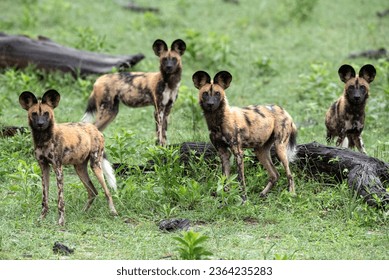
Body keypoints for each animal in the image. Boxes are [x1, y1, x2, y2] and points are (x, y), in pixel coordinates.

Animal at [19, 89, 116, 225]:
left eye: (46, 113)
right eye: (34, 114)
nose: (40, 124)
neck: (43, 139)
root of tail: (94, 128)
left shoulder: (58, 168)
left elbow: (60, 201)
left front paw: (61, 221)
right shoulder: (44, 167)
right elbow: (45, 199)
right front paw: (41, 218)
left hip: (95, 165)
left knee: (107, 192)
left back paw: (113, 212)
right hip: (79, 169)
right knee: (93, 192)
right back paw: (83, 213)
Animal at [192, 70, 298, 201]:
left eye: (217, 93)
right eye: (205, 93)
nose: (210, 104)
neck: (217, 121)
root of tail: (284, 110)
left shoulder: (238, 153)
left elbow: (240, 180)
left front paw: (244, 199)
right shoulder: (223, 153)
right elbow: (225, 180)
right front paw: (224, 198)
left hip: (280, 149)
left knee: (290, 175)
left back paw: (292, 194)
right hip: (260, 151)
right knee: (275, 175)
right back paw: (263, 194)